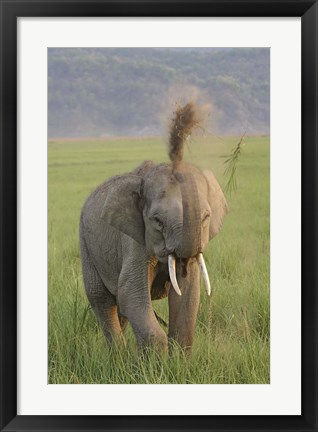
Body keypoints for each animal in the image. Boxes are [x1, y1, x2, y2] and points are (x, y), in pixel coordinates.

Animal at [80, 103, 227, 352]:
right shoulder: (134, 240)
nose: (182, 128)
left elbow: (188, 294)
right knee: (103, 299)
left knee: (119, 308)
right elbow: (130, 292)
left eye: (206, 217)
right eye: (157, 221)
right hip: (85, 243)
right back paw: (117, 356)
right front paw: (156, 359)